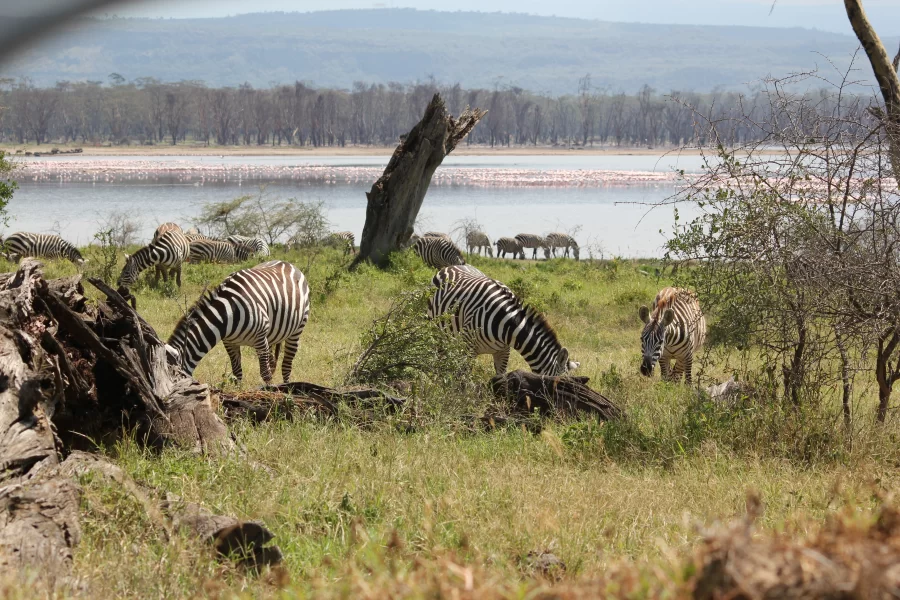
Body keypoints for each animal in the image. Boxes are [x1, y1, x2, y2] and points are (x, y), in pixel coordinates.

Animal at [167, 260, 312, 382]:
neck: (228, 313)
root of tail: (287, 263)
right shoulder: (230, 342)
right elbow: (237, 372)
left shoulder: (260, 339)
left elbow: (265, 373)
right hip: (271, 336)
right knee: (272, 362)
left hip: (296, 330)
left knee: (286, 365)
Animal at [428, 266, 576, 376]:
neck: (509, 324)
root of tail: (452, 266)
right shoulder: (468, 347)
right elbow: (463, 376)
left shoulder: (504, 350)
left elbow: (501, 376)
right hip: (435, 328)